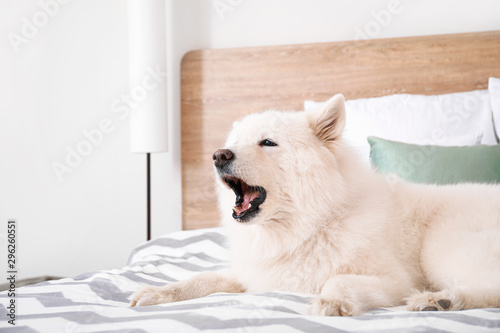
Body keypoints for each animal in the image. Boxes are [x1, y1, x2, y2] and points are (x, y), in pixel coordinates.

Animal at [132, 93, 500, 314]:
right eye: (233, 143)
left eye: (268, 143)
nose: (218, 155)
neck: (309, 226)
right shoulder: (257, 275)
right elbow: (201, 280)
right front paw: (157, 293)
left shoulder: (396, 281)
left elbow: (337, 280)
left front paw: (331, 301)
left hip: (442, 249)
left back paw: (442, 299)